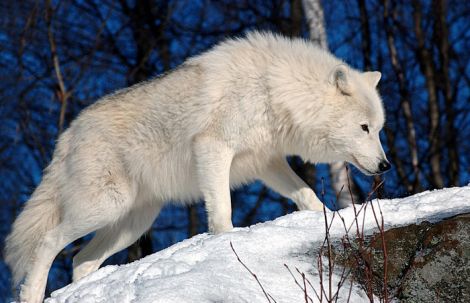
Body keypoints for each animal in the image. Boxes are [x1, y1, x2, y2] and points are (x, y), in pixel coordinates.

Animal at [5, 31, 392, 303]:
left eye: (379, 129)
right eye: (364, 128)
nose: (386, 165)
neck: (273, 88)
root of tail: (68, 133)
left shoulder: (267, 162)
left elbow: (308, 196)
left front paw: (328, 219)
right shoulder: (213, 148)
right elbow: (222, 211)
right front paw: (226, 242)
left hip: (133, 223)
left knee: (80, 261)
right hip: (105, 207)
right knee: (48, 242)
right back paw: (32, 294)